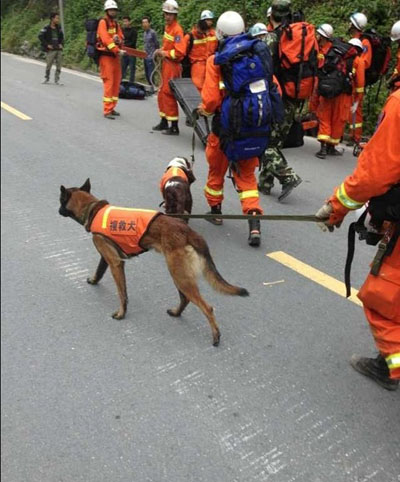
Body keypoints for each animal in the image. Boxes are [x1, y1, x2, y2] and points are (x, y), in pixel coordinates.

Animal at [59, 179, 249, 346]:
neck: (92, 208)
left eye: (60, 201)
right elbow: (99, 272)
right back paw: (176, 313)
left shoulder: (115, 263)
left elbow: (122, 294)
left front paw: (121, 313)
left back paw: (216, 336)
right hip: (179, 275)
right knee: (185, 298)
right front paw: (94, 280)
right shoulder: (109, 260)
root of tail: (187, 230)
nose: (58, 210)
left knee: (206, 307)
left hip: (179, 275)